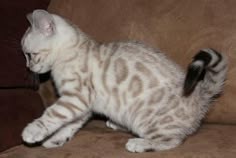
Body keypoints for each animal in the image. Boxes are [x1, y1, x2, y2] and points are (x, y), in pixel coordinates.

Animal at [21, 9, 228, 152]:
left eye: (30, 55)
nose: (28, 68)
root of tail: (200, 96)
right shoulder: (81, 106)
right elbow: (67, 126)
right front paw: (55, 140)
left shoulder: (75, 98)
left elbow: (52, 115)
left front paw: (32, 132)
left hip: (146, 121)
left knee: (173, 141)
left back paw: (139, 143)